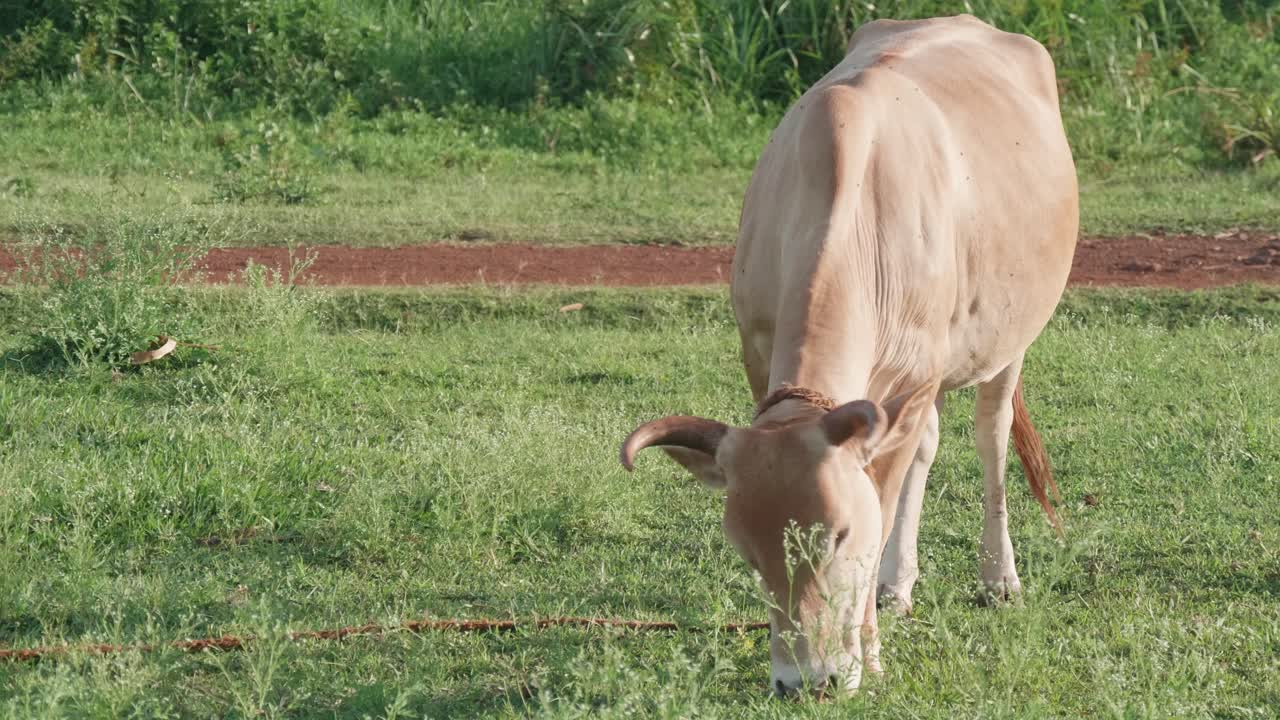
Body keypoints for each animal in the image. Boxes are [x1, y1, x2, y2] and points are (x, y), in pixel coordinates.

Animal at [620, 15, 1076, 697]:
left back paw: (999, 577)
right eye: (747, 551)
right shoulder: (762, 357)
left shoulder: (912, 382)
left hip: (1009, 344)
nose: (807, 681)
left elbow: (881, 511)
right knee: (928, 444)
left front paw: (870, 655)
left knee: (991, 438)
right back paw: (897, 584)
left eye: (837, 537)